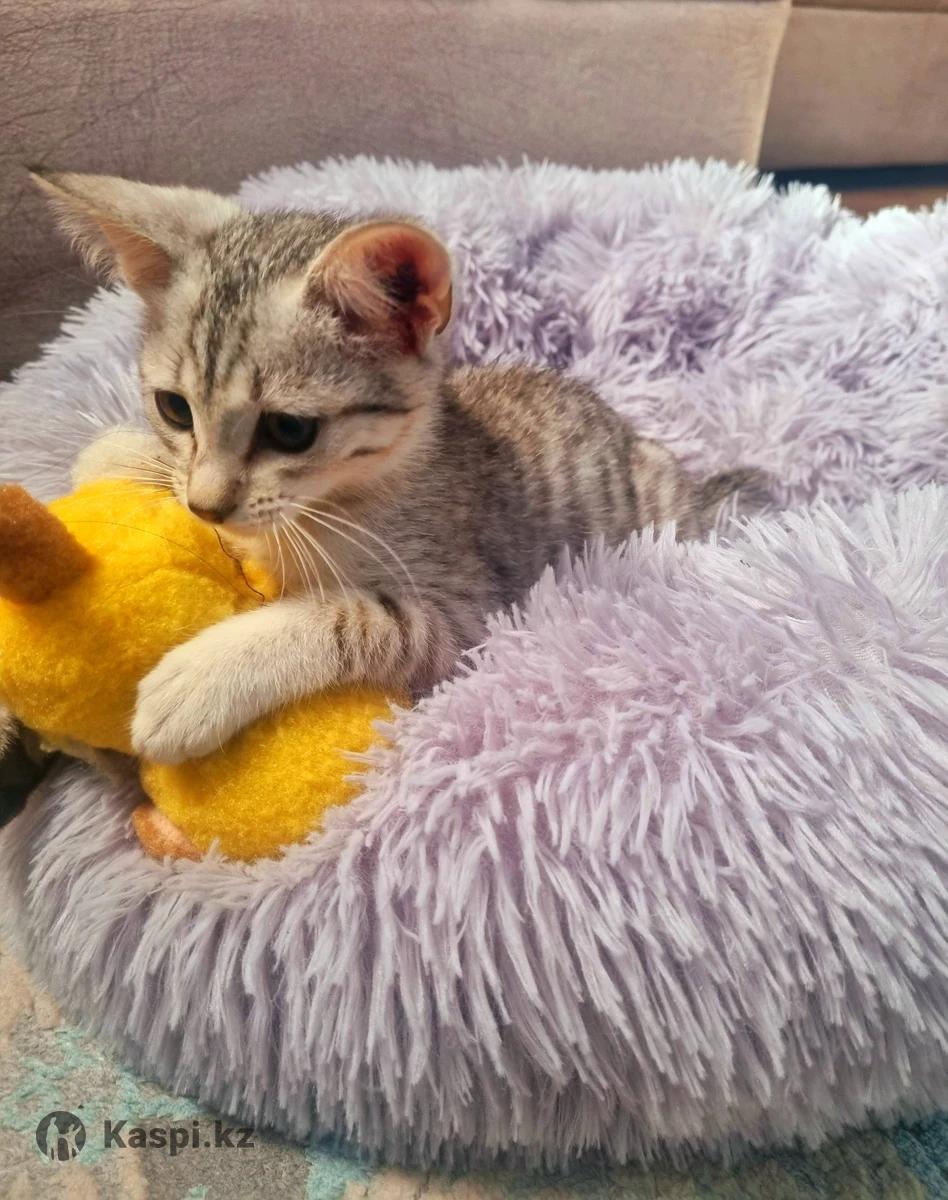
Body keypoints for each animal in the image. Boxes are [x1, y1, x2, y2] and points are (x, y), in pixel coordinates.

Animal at [25, 169, 756, 766]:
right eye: (174, 409)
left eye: (289, 430)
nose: (208, 506)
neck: (343, 499)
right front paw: (120, 454)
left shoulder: (474, 619)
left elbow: (358, 617)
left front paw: (207, 676)